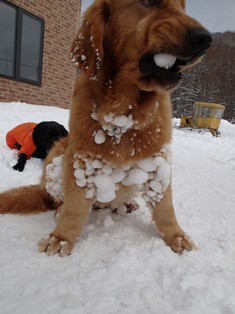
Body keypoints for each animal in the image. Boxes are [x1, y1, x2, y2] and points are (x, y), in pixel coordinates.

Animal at [0, 0, 212, 255]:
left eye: (183, 7)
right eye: (149, 2)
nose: (206, 39)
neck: (124, 114)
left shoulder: (157, 162)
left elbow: (165, 208)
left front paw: (176, 236)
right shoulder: (83, 159)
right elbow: (75, 207)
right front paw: (61, 238)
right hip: (58, 153)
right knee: (58, 200)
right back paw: (60, 209)